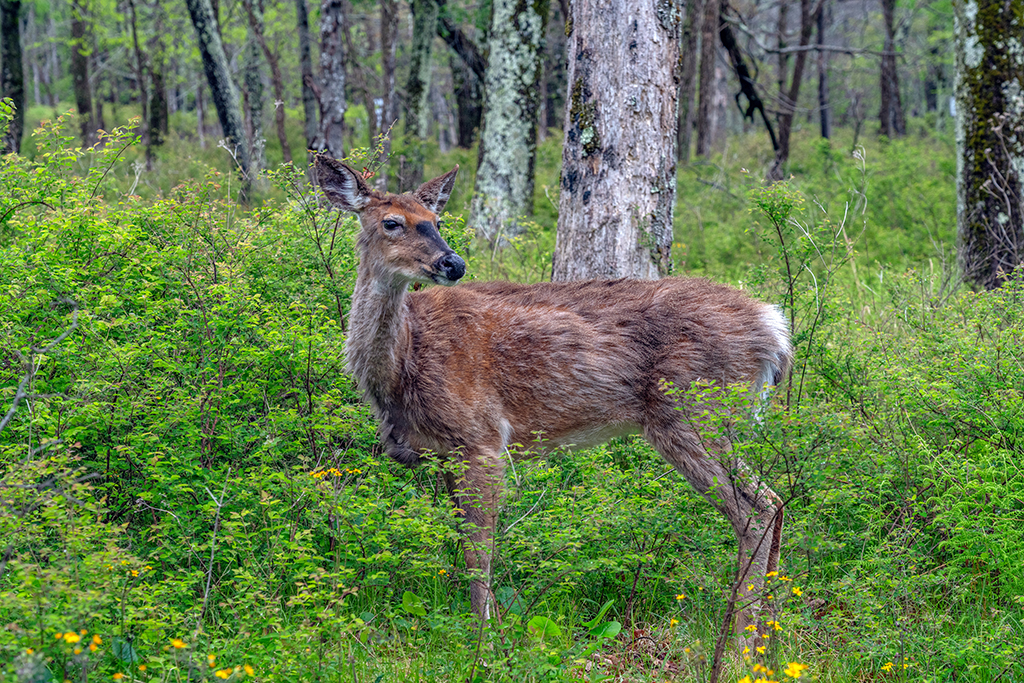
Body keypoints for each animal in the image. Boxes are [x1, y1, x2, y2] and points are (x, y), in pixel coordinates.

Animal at [314, 154, 793, 648]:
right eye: (391, 222)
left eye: (437, 221)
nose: (453, 263)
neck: (404, 363)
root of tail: (774, 328)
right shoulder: (443, 452)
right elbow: (462, 541)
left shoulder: (483, 437)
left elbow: (479, 550)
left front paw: (485, 642)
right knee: (775, 503)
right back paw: (770, 638)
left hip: (692, 412)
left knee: (754, 511)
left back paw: (739, 645)